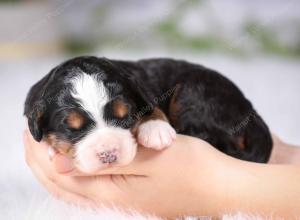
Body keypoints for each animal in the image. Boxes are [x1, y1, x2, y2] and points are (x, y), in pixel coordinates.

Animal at [24, 55, 272, 173]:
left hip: (194, 93)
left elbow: (153, 108)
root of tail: (251, 111)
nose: (108, 154)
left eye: (126, 116)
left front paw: (156, 130)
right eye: (71, 129)